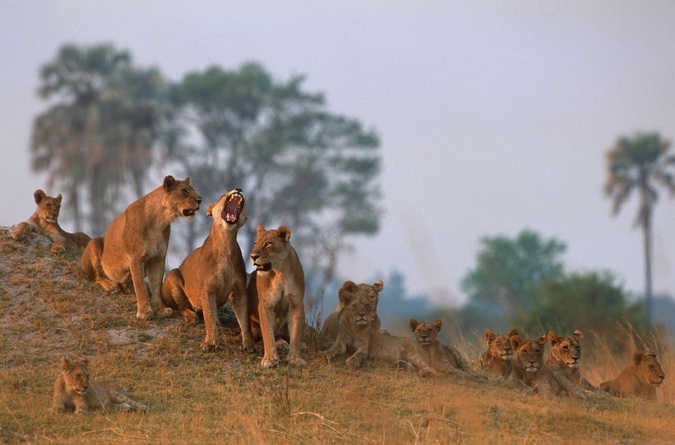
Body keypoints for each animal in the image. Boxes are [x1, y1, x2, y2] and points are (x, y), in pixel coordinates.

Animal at [81, 176, 201, 320]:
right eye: (184, 191)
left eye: (193, 189)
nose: (200, 200)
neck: (160, 221)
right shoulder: (135, 258)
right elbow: (141, 286)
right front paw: (145, 312)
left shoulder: (158, 258)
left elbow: (156, 284)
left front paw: (160, 309)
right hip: (94, 243)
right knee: (97, 276)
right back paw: (110, 285)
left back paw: (127, 288)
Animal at [162, 189, 255, 352]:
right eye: (223, 195)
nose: (238, 189)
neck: (226, 242)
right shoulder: (207, 289)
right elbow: (209, 317)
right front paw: (211, 343)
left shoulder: (239, 291)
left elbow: (244, 320)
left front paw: (249, 345)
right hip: (173, 274)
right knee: (180, 307)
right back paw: (190, 316)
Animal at [248, 225, 306, 368]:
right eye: (255, 243)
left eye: (268, 244)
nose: (253, 256)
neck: (280, 272)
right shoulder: (265, 305)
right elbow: (267, 333)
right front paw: (270, 359)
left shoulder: (296, 303)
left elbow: (296, 333)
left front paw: (295, 358)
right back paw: (280, 343)